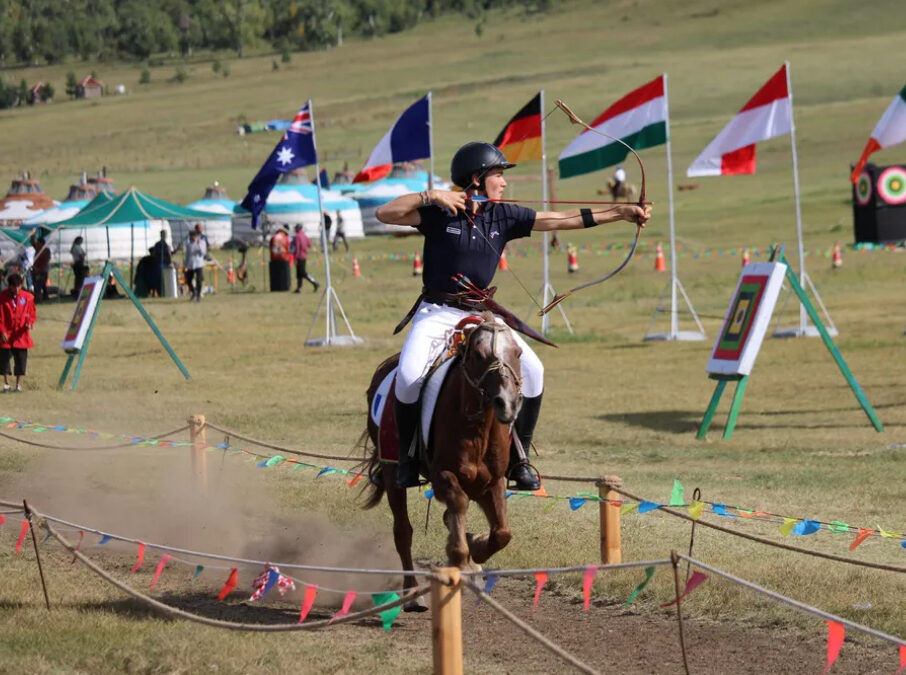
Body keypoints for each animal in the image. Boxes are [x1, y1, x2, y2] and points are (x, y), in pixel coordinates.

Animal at [356, 316, 520, 608]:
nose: (507, 403)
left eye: (518, 353)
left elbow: (502, 532)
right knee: (403, 531)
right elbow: (458, 505)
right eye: (478, 355)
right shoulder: (443, 476)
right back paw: (412, 593)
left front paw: (475, 546)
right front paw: (463, 556)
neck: (475, 428)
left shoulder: (493, 481)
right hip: (392, 472)